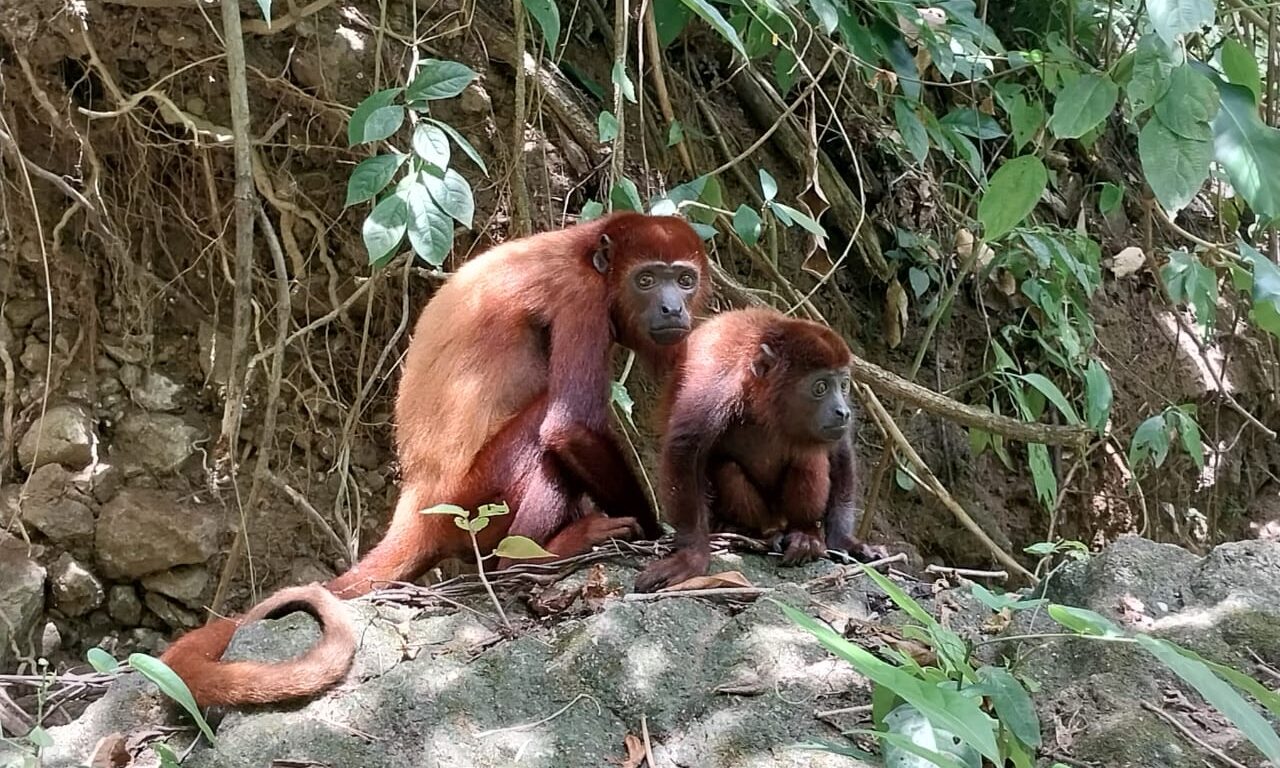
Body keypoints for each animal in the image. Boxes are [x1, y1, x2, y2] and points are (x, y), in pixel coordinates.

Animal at [160, 212, 710, 707]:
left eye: (684, 280)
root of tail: (416, 502)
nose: (671, 308)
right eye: (646, 279)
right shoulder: (582, 296)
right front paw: (656, 532)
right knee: (539, 435)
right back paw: (540, 556)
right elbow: (568, 425)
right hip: (473, 503)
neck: (588, 248)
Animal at [633, 308, 881, 593]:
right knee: (728, 469)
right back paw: (760, 532)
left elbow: (840, 451)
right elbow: (685, 450)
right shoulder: (716, 383)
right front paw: (690, 557)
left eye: (843, 385)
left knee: (809, 458)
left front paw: (844, 541)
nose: (843, 411)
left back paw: (805, 534)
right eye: (820, 387)